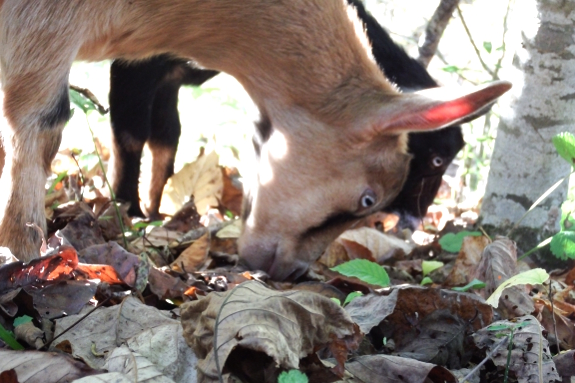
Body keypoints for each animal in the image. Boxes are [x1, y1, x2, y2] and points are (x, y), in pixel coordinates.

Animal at [0, 0, 508, 280]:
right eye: (368, 199)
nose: (292, 272)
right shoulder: (49, 29)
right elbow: (48, 124)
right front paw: (25, 253)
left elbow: (164, 136)